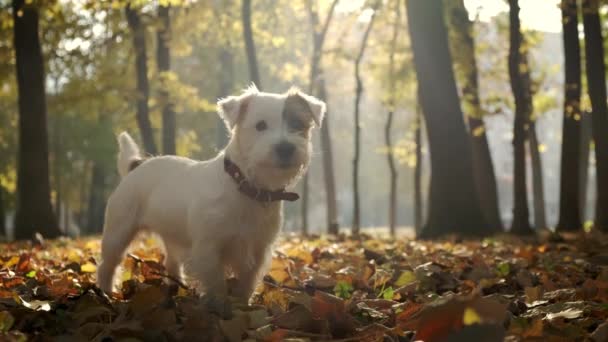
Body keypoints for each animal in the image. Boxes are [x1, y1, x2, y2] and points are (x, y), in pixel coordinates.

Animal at [97, 85, 326, 300]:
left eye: (297, 125)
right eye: (260, 125)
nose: (285, 148)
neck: (246, 188)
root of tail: (136, 165)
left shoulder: (258, 249)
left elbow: (246, 284)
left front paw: (242, 306)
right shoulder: (209, 248)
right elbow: (216, 285)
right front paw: (220, 308)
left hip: (172, 234)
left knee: (171, 262)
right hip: (118, 231)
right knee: (107, 264)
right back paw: (107, 292)